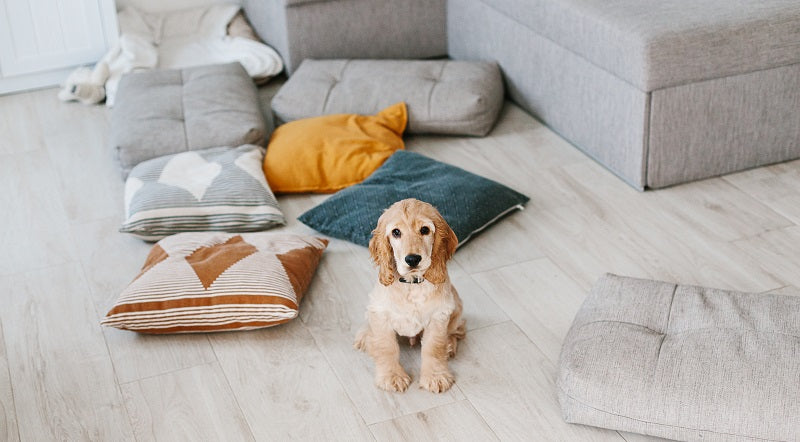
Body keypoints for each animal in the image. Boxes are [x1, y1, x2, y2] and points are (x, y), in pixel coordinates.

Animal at [354, 199, 466, 392]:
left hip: (457, 306)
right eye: (396, 232)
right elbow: (386, 346)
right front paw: (392, 376)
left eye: (425, 230)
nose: (412, 259)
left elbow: (434, 347)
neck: (412, 284)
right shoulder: (380, 313)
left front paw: (435, 376)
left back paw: (450, 345)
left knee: (457, 330)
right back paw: (365, 338)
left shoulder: (439, 315)